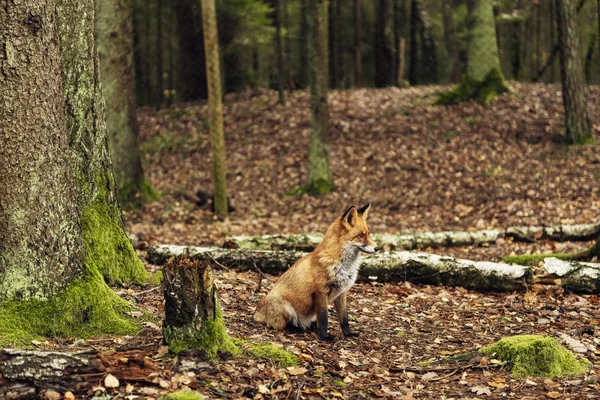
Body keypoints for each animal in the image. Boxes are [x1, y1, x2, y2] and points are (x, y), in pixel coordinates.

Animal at [254, 203, 380, 340]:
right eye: (361, 235)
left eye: (368, 234)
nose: (377, 248)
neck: (343, 265)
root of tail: (258, 311)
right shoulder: (320, 292)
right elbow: (324, 318)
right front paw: (325, 337)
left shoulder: (341, 293)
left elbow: (344, 318)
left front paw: (348, 333)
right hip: (284, 306)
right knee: (281, 326)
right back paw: (298, 329)